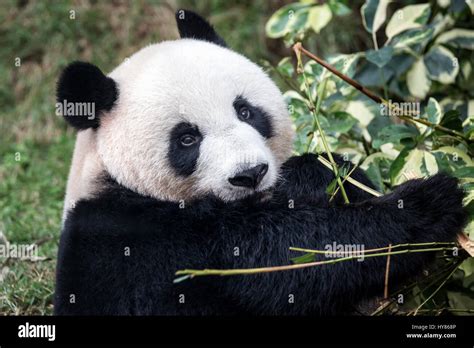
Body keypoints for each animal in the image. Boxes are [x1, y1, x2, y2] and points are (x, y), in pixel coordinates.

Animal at [54, 10, 466, 316]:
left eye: (245, 111)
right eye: (187, 139)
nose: (250, 174)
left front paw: (322, 173)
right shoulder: (145, 241)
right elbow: (285, 259)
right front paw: (428, 203)